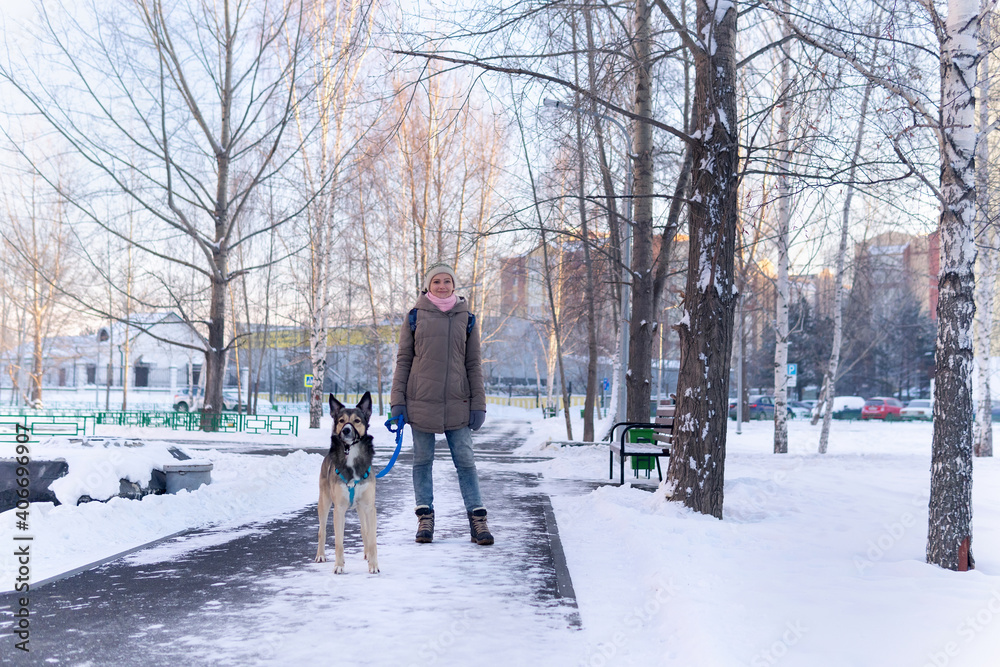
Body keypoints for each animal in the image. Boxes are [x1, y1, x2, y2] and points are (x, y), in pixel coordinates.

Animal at [312, 392, 378, 576]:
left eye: (357, 420)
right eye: (341, 420)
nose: (346, 430)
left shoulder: (369, 507)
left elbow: (372, 539)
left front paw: (373, 565)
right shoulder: (339, 509)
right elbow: (339, 542)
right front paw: (339, 566)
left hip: (361, 508)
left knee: (364, 530)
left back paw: (367, 555)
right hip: (324, 502)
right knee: (321, 530)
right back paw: (320, 555)